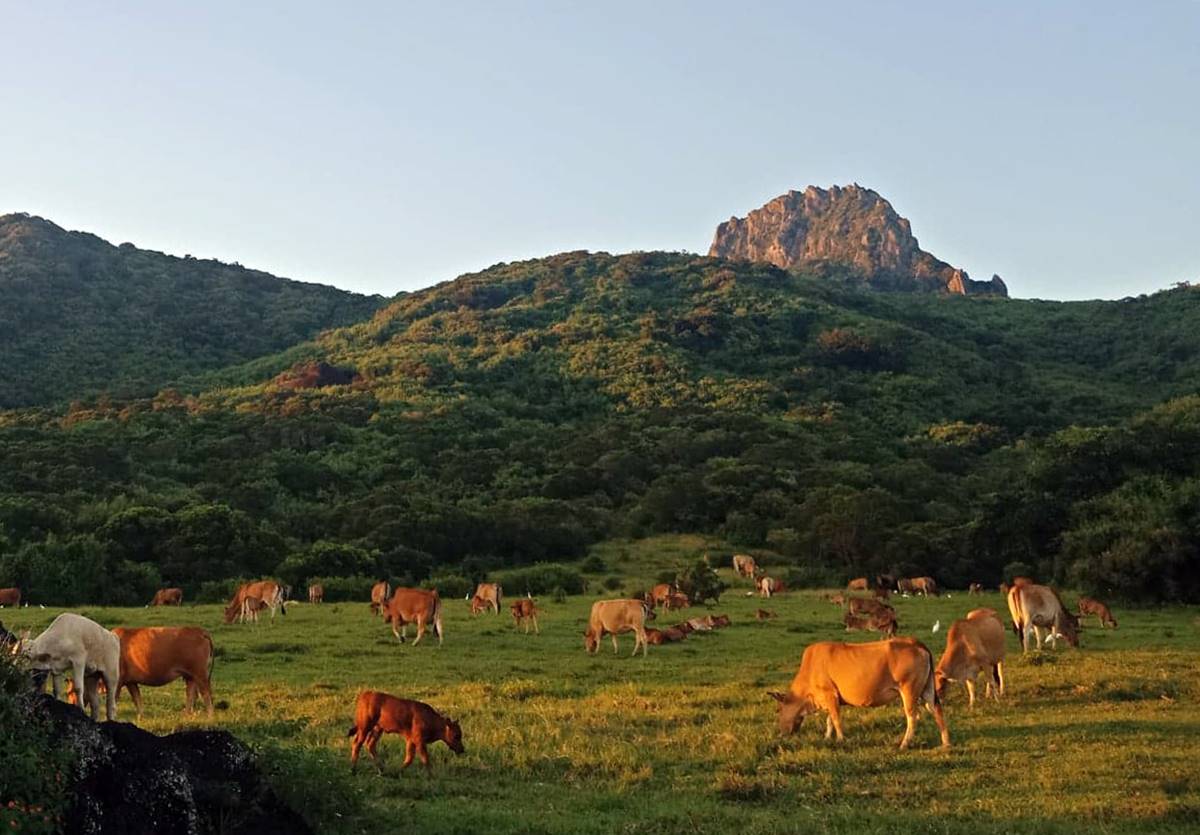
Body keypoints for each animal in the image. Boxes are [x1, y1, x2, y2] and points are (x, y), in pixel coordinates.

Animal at [772, 638, 950, 748]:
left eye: (779, 710)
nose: (781, 733)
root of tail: (915, 642)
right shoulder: (831, 697)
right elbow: (829, 720)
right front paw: (827, 737)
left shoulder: (829, 694)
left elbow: (835, 719)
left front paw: (840, 739)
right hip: (927, 690)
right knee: (937, 710)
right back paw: (946, 743)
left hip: (909, 691)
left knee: (912, 717)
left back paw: (904, 744)